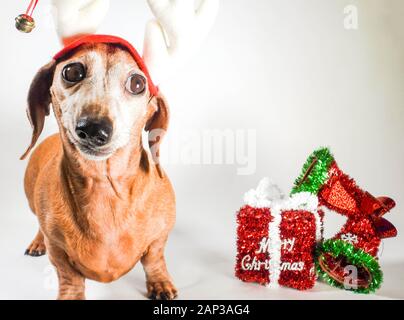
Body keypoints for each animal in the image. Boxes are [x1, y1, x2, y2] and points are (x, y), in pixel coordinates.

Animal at [21, 37, 177, 300]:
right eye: (72, 72)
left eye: (137, 83)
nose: (94, 129)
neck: (104, 186)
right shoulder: (58, 250)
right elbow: (68, 275)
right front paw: (71, 295)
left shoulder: (160, 235)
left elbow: (154, 259)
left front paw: (160, 283)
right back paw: (36, 242)